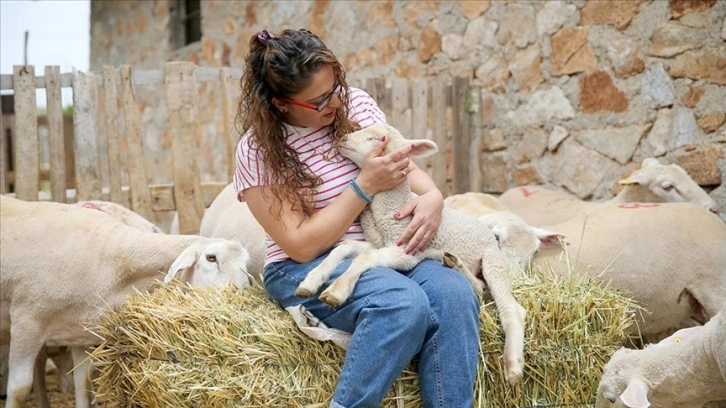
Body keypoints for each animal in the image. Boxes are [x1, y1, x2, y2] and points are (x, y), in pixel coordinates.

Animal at [0, 195, 253, 408]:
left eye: (246, 264)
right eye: (211, 258)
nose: (238, 300)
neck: (111, 260)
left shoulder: (80, 332)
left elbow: (83, 383)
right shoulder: (27, 318)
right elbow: (19, 390)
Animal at [296, 122, 528, 388]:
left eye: (377, 138)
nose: (342, 139)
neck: (392, 208)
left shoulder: (406, 250)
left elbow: (363, 259)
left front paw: (337, 291)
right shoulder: (378, 243)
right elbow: (345, 249)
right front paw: (311, 281)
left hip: (492, 262)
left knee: (511, 308)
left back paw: (513, 367)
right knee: (479, 288)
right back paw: (454, 262)